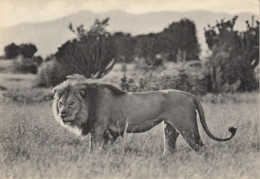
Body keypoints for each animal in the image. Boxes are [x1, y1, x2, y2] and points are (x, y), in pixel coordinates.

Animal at [51, 76, 237, 153]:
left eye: (71, 103)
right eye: (60, 104)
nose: (62, 115)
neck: (89, 104)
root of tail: (190, 95)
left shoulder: (98, 129)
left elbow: (95, 149)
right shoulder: (106, 133)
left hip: (187, 127)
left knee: (202, 148)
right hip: (169, 128)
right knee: (170, 148)